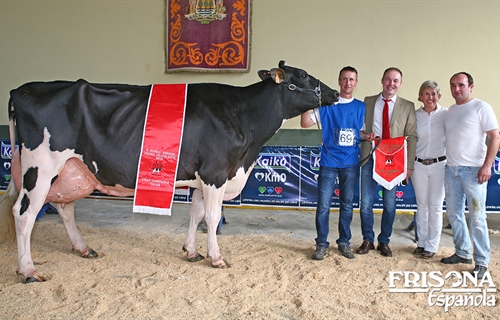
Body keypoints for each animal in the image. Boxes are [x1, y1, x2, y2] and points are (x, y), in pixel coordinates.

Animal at [0, 60, 338, 282]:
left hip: (71, 169)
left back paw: (83, 249)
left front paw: (191, 251)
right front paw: (216, 258)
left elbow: (196, 215)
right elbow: (212, 217)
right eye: (304, 75)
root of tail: (21, 89)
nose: (335, 93)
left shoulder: (202, 179)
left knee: (64, 207)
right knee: (24, 213)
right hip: (40, 167)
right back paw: (28, 270)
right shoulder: (215, 172)